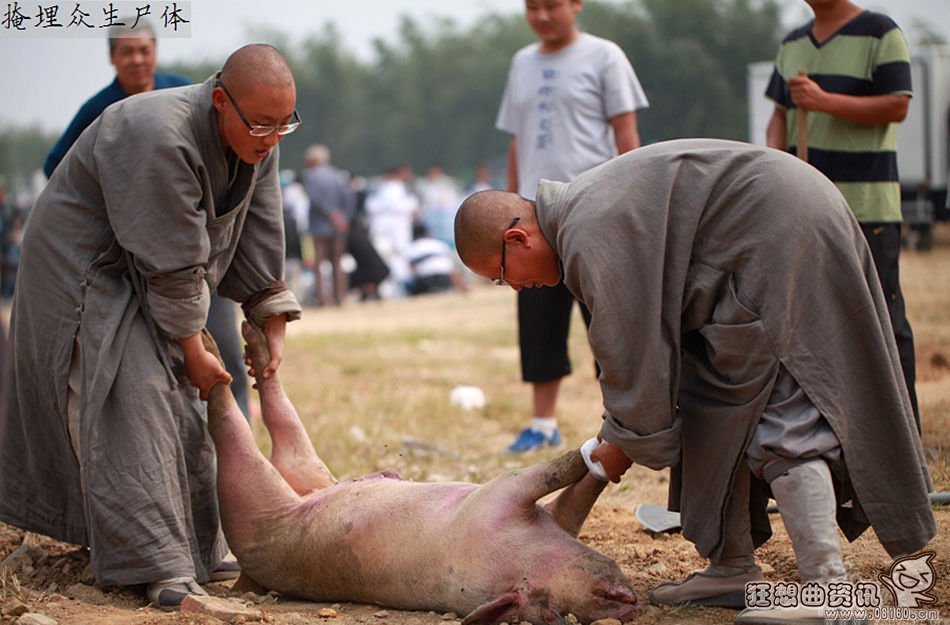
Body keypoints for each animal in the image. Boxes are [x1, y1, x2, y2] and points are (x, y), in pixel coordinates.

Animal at [205, 322, 644, 624]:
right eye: (554, 605)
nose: (629, 604)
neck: (509, 563)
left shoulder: (551, 519)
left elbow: (575, 500)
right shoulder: (497, 498)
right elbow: (552, 475)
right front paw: (593, 447)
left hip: (308, 472)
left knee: (287, 433)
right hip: (255, 503)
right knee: (230, 428)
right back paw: (212, 356)